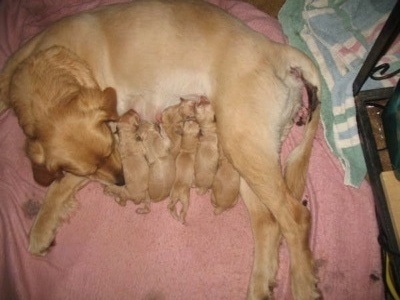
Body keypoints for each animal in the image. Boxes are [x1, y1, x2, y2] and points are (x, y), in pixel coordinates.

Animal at [0, 1, 322, 298]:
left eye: (109, 149)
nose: (122, 181)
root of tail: (275, 49)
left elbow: (59, 186)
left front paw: (41, 227)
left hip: (243, 144)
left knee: (296, 217)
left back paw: (303, 284)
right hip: (244, 154)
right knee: (269, 223)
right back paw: (260, 284)